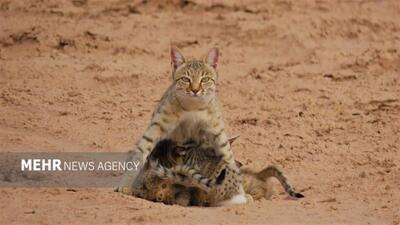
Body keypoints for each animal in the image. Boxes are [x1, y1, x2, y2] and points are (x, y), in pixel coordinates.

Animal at [117, 46, 245, 205]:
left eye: (205, 79)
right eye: (185, 79)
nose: (195, 90)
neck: (193, 107)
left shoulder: (217, 132)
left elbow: (228, 157)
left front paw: (239, 190)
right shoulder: (155, 128)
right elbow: (139, 154)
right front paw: (125, 185)